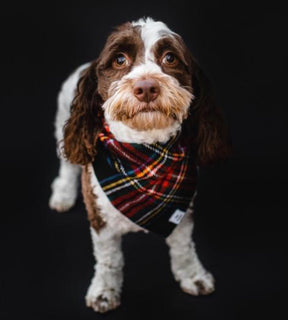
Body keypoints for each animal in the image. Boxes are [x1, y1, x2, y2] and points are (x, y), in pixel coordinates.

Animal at [49, 16, 230, 312]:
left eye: (170, 58)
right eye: (119, 60)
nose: (146, 87)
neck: (145, 155)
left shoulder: (183, 210)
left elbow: (183, 248)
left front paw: (193, 276)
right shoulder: (99, 218)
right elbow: (109, 260)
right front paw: (104, 292)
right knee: (67, 167)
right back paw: (62, 196)